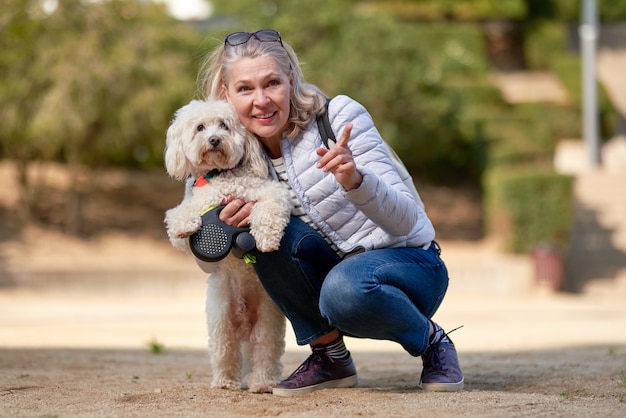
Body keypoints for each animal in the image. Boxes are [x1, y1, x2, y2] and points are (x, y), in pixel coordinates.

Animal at [166, 97, 292, 392]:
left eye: (224, 125)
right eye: (200, 127)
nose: (214, 139)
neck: (221, 176)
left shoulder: (270, 192)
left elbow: (270, 208)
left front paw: (267, 238)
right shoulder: (195, 208)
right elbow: (180, 218)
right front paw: (182, 223)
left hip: (268, 321)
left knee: (265, 352)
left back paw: (262, 383)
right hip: (221, 319)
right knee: (225, 350)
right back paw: (225, 382)